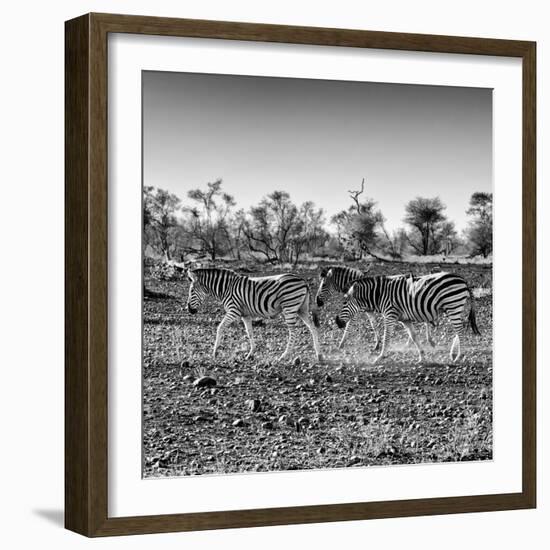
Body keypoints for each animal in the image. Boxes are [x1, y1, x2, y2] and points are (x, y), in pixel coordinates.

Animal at [187, 270, 324, 364]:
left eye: (192, 291)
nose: (189, 309)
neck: (226, 288)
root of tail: (303, 280)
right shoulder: (245, 314)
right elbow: (250, 333)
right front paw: (250, 354)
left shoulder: (233, 311)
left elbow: (220, 328)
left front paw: (214, 353)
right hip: (302, 309)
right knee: (313, 328)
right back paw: (319, 355)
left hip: (289, 307)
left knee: (294, 332)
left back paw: (284, 356)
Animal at [334, 272, 480, 366]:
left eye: (344, 302)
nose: (337, 322)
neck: (380, 294)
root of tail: (463, 279)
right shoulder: (405, 319)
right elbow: (414, 337)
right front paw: (422, 357)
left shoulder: (390, 315)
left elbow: (387, 338)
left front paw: (379, 357)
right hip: (453, 308)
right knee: (460, 329)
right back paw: (453, 354)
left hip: (453, 305)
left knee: (460, 331)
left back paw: (458, 357)